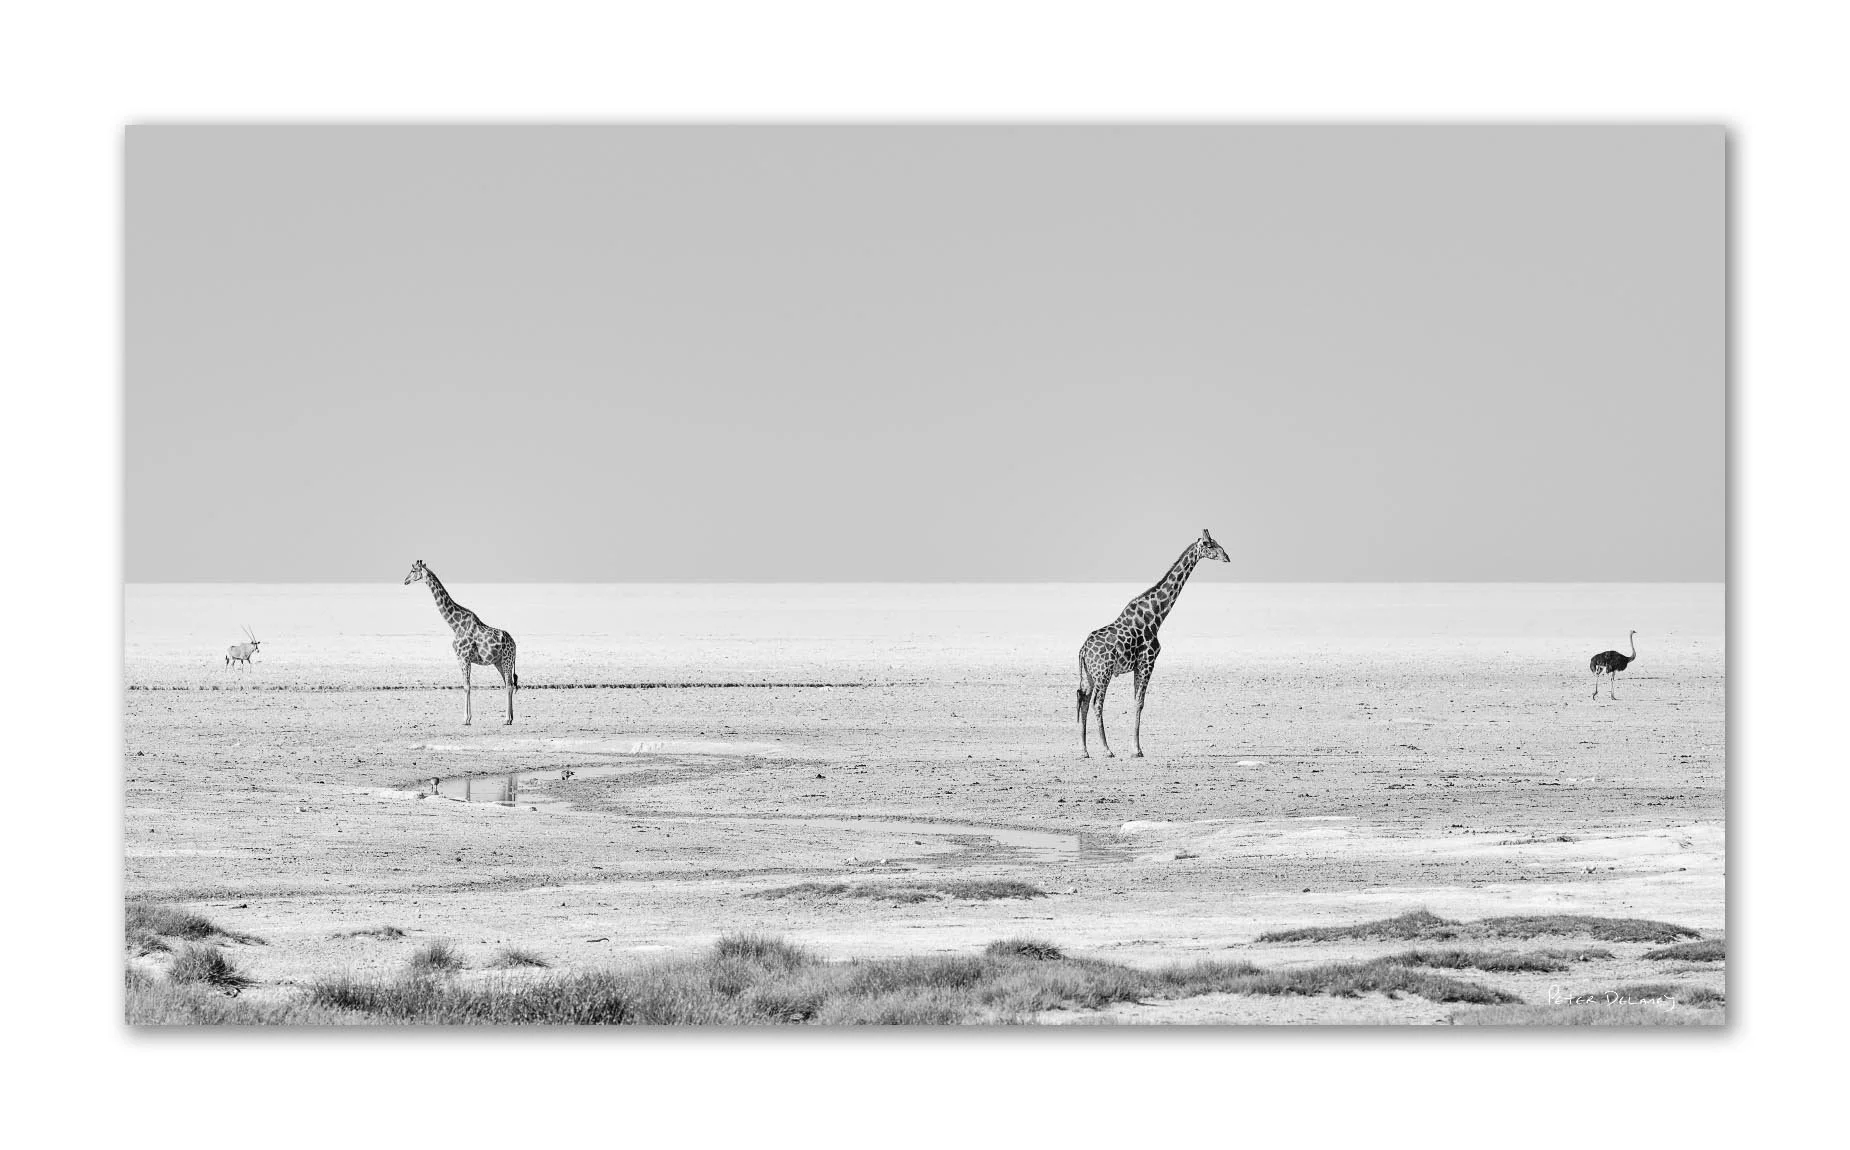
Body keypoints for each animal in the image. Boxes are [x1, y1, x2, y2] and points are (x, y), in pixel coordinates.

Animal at [403, 559, 519, 725]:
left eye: (413, 570)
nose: (405, 581)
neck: (455, 625)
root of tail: (514, 644)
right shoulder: (461, 658)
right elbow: (466, 686)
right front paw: (468, 717)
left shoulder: (464, 658)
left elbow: (466, 686)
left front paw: (466, 719)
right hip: (499, 662)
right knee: (508, 684)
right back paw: (511, 717)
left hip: (507, 660)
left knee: (509, 685)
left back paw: (507, 719)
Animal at [1076, 529, 1230, 758]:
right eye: (1210, 545)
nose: (1227, 557)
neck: (1157, 616)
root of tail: (1083, 650)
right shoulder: (1148, 661)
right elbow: (1140, 703)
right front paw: (1137, 749)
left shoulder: (1138, 665)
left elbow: (1135, 702)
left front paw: (1135, 748)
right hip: (1103, 673)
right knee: (1096, 703)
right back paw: (1107, 750)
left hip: (1088, 675)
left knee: (1083, 700)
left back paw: (1084, 750)